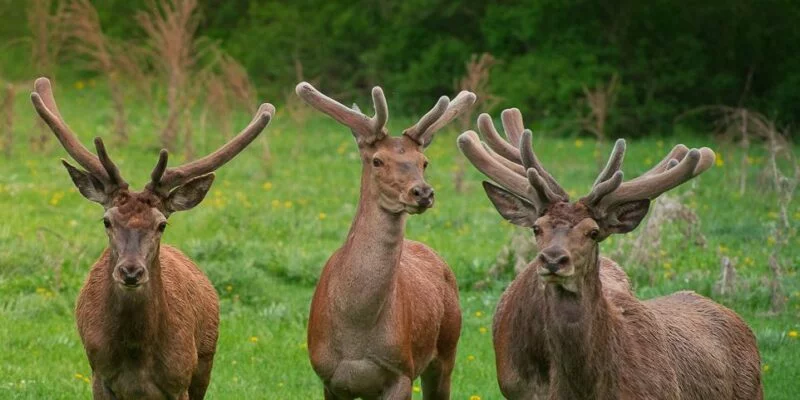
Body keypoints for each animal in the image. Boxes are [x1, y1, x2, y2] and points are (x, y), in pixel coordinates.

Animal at [32, 76, 276, 398]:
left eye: (161, 224)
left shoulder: (180, 380)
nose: (130, 272)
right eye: (107, 221)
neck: (136, 355)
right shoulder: (98, 374)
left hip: (205, 364)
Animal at [296, 82, 476, 400]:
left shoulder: (401, 370)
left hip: (448, 348)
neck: (356, 333)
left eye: (424, 162)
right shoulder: (328, 376)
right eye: (377, 160)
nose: (423, 192)